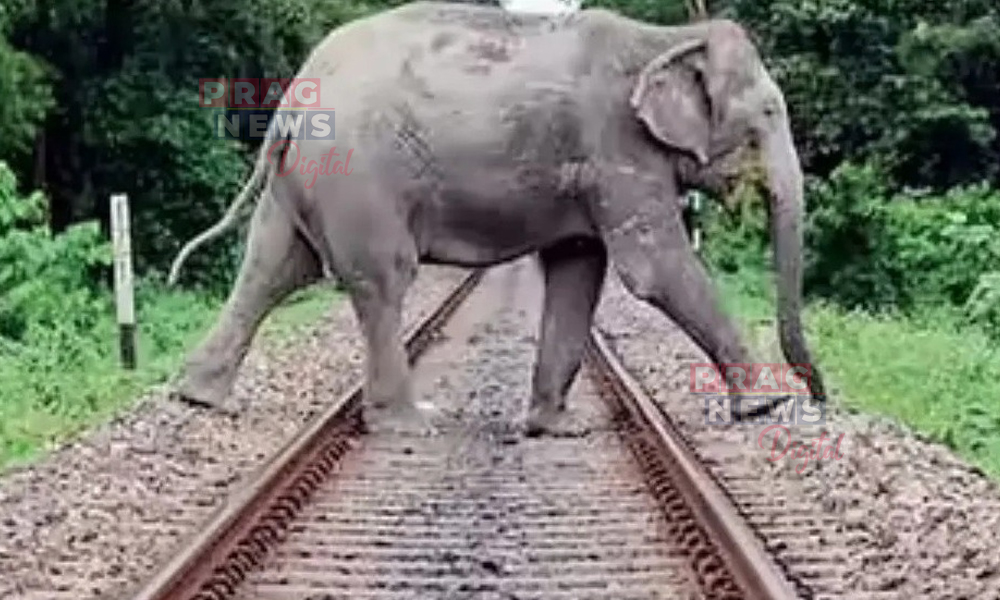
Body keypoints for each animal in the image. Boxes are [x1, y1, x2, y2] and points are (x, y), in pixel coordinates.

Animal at [166, 1, 828, 436]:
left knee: (272, 267)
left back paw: (200, 400)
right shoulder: (615, 146)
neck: (665, 37)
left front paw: (555, 427)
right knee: (382, 278)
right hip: (359, 175)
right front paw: (765, 407)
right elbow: (653, 269)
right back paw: (410, 422)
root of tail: (293, 96)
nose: (819, 395)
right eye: (768, 114)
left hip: (303, 178)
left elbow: (577, 267)